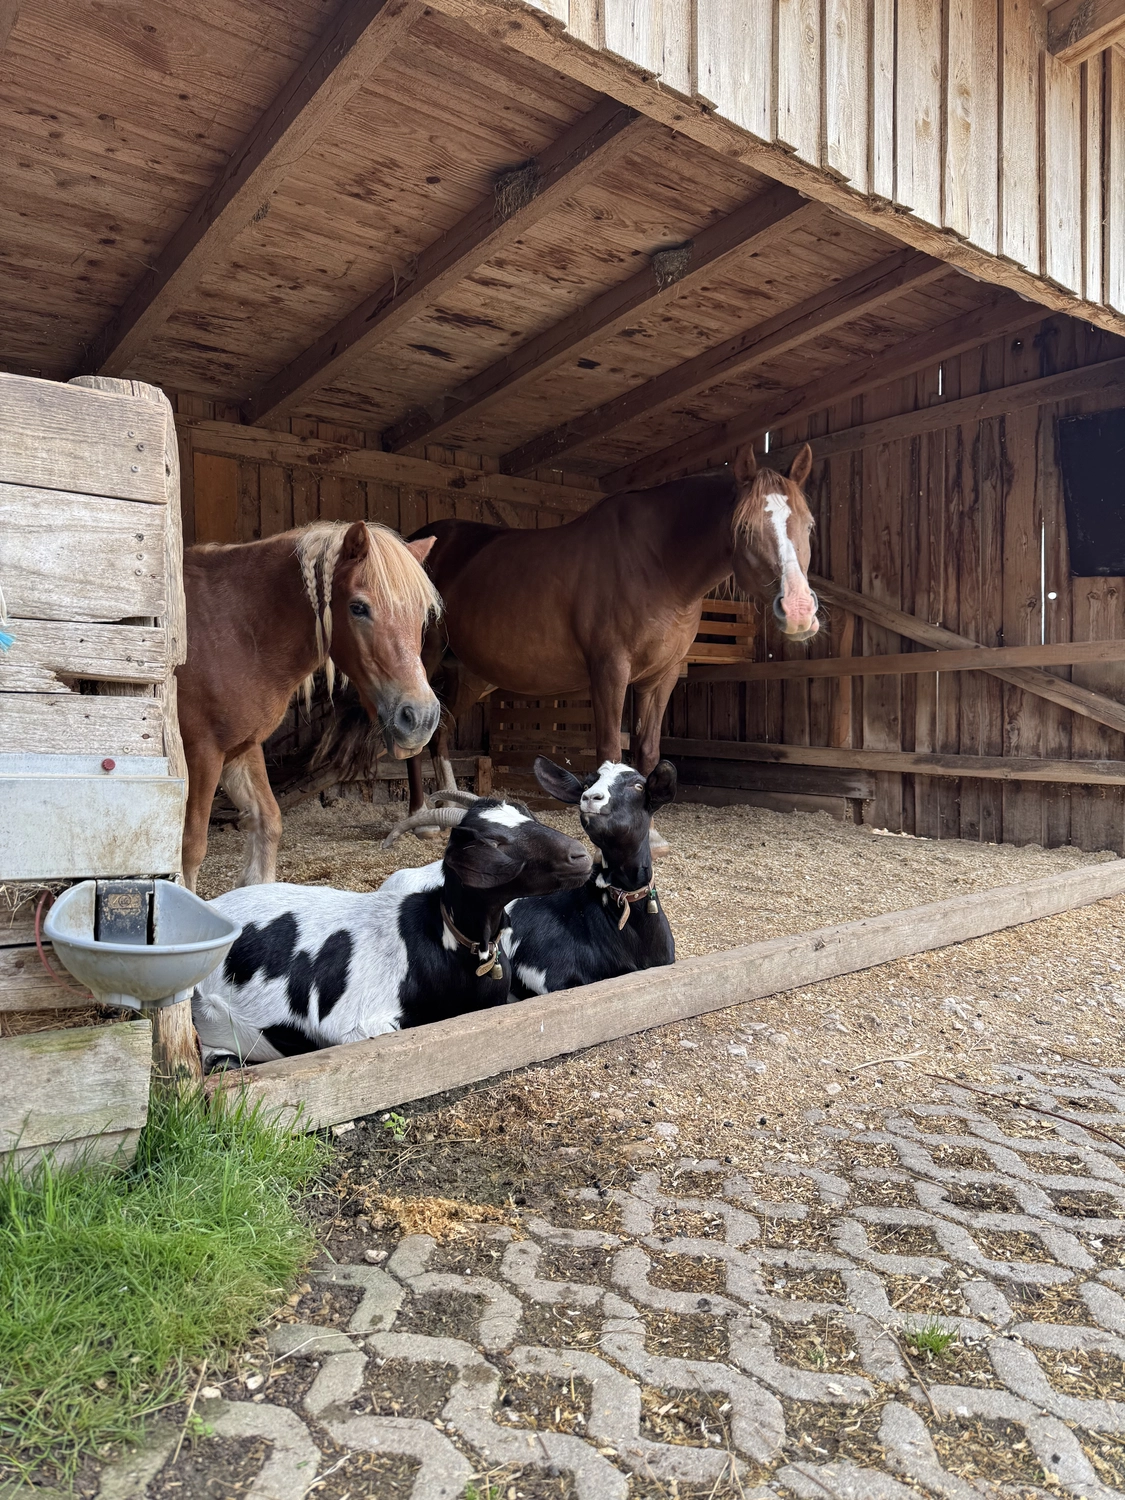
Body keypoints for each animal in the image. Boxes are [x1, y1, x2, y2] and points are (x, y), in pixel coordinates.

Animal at [178, 520, 441, 891]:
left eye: (422, 612)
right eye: (358, 607)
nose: (420, 718)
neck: (235, 632)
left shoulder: (240, 748)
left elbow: (268, 821)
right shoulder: (202, 753)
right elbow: (191, 848)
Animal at [404, 444, 819, 830]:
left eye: (809, 525)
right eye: (743, 528)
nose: (799, 610)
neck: (658, 562)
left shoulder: (662, 677)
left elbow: (647, 753)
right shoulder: (609, 672)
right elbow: (609, 753)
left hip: (471, 675)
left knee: (441, 731)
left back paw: (449, 808)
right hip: (424, 658)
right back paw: (421, 814)